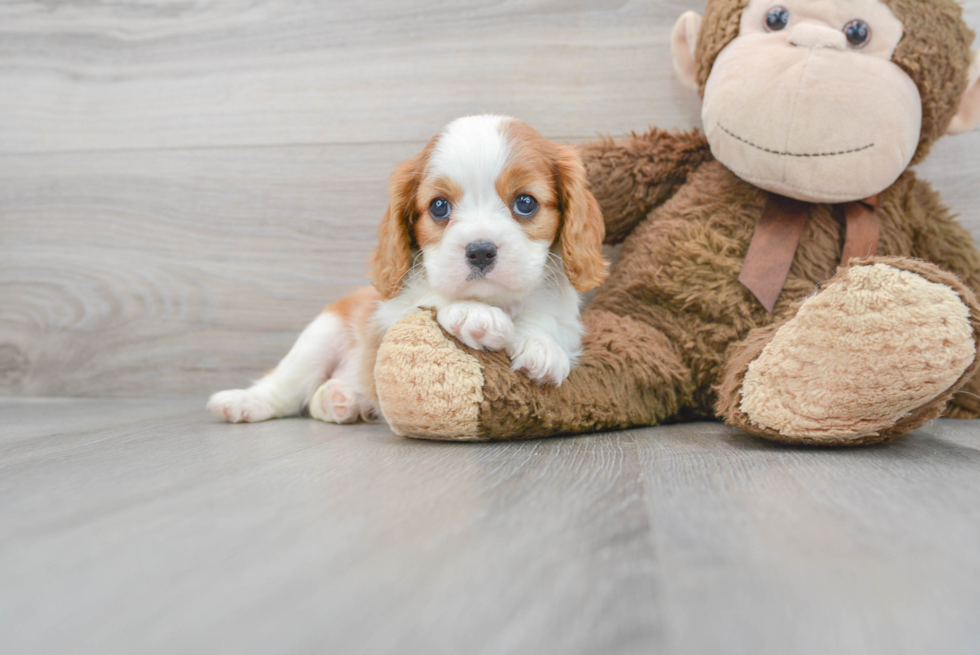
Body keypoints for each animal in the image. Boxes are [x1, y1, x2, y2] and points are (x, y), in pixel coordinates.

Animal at [209, 115, 604, 426]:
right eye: (439, 207)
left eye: (525, 203)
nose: (480, 251)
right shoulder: (390, 311)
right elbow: (431, 298)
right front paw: (473, 314)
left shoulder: (569, 320)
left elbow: (547, 320)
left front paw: (541, 346)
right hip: (322, 334)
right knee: (284, 386)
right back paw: (246, 402)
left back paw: (341, 399)